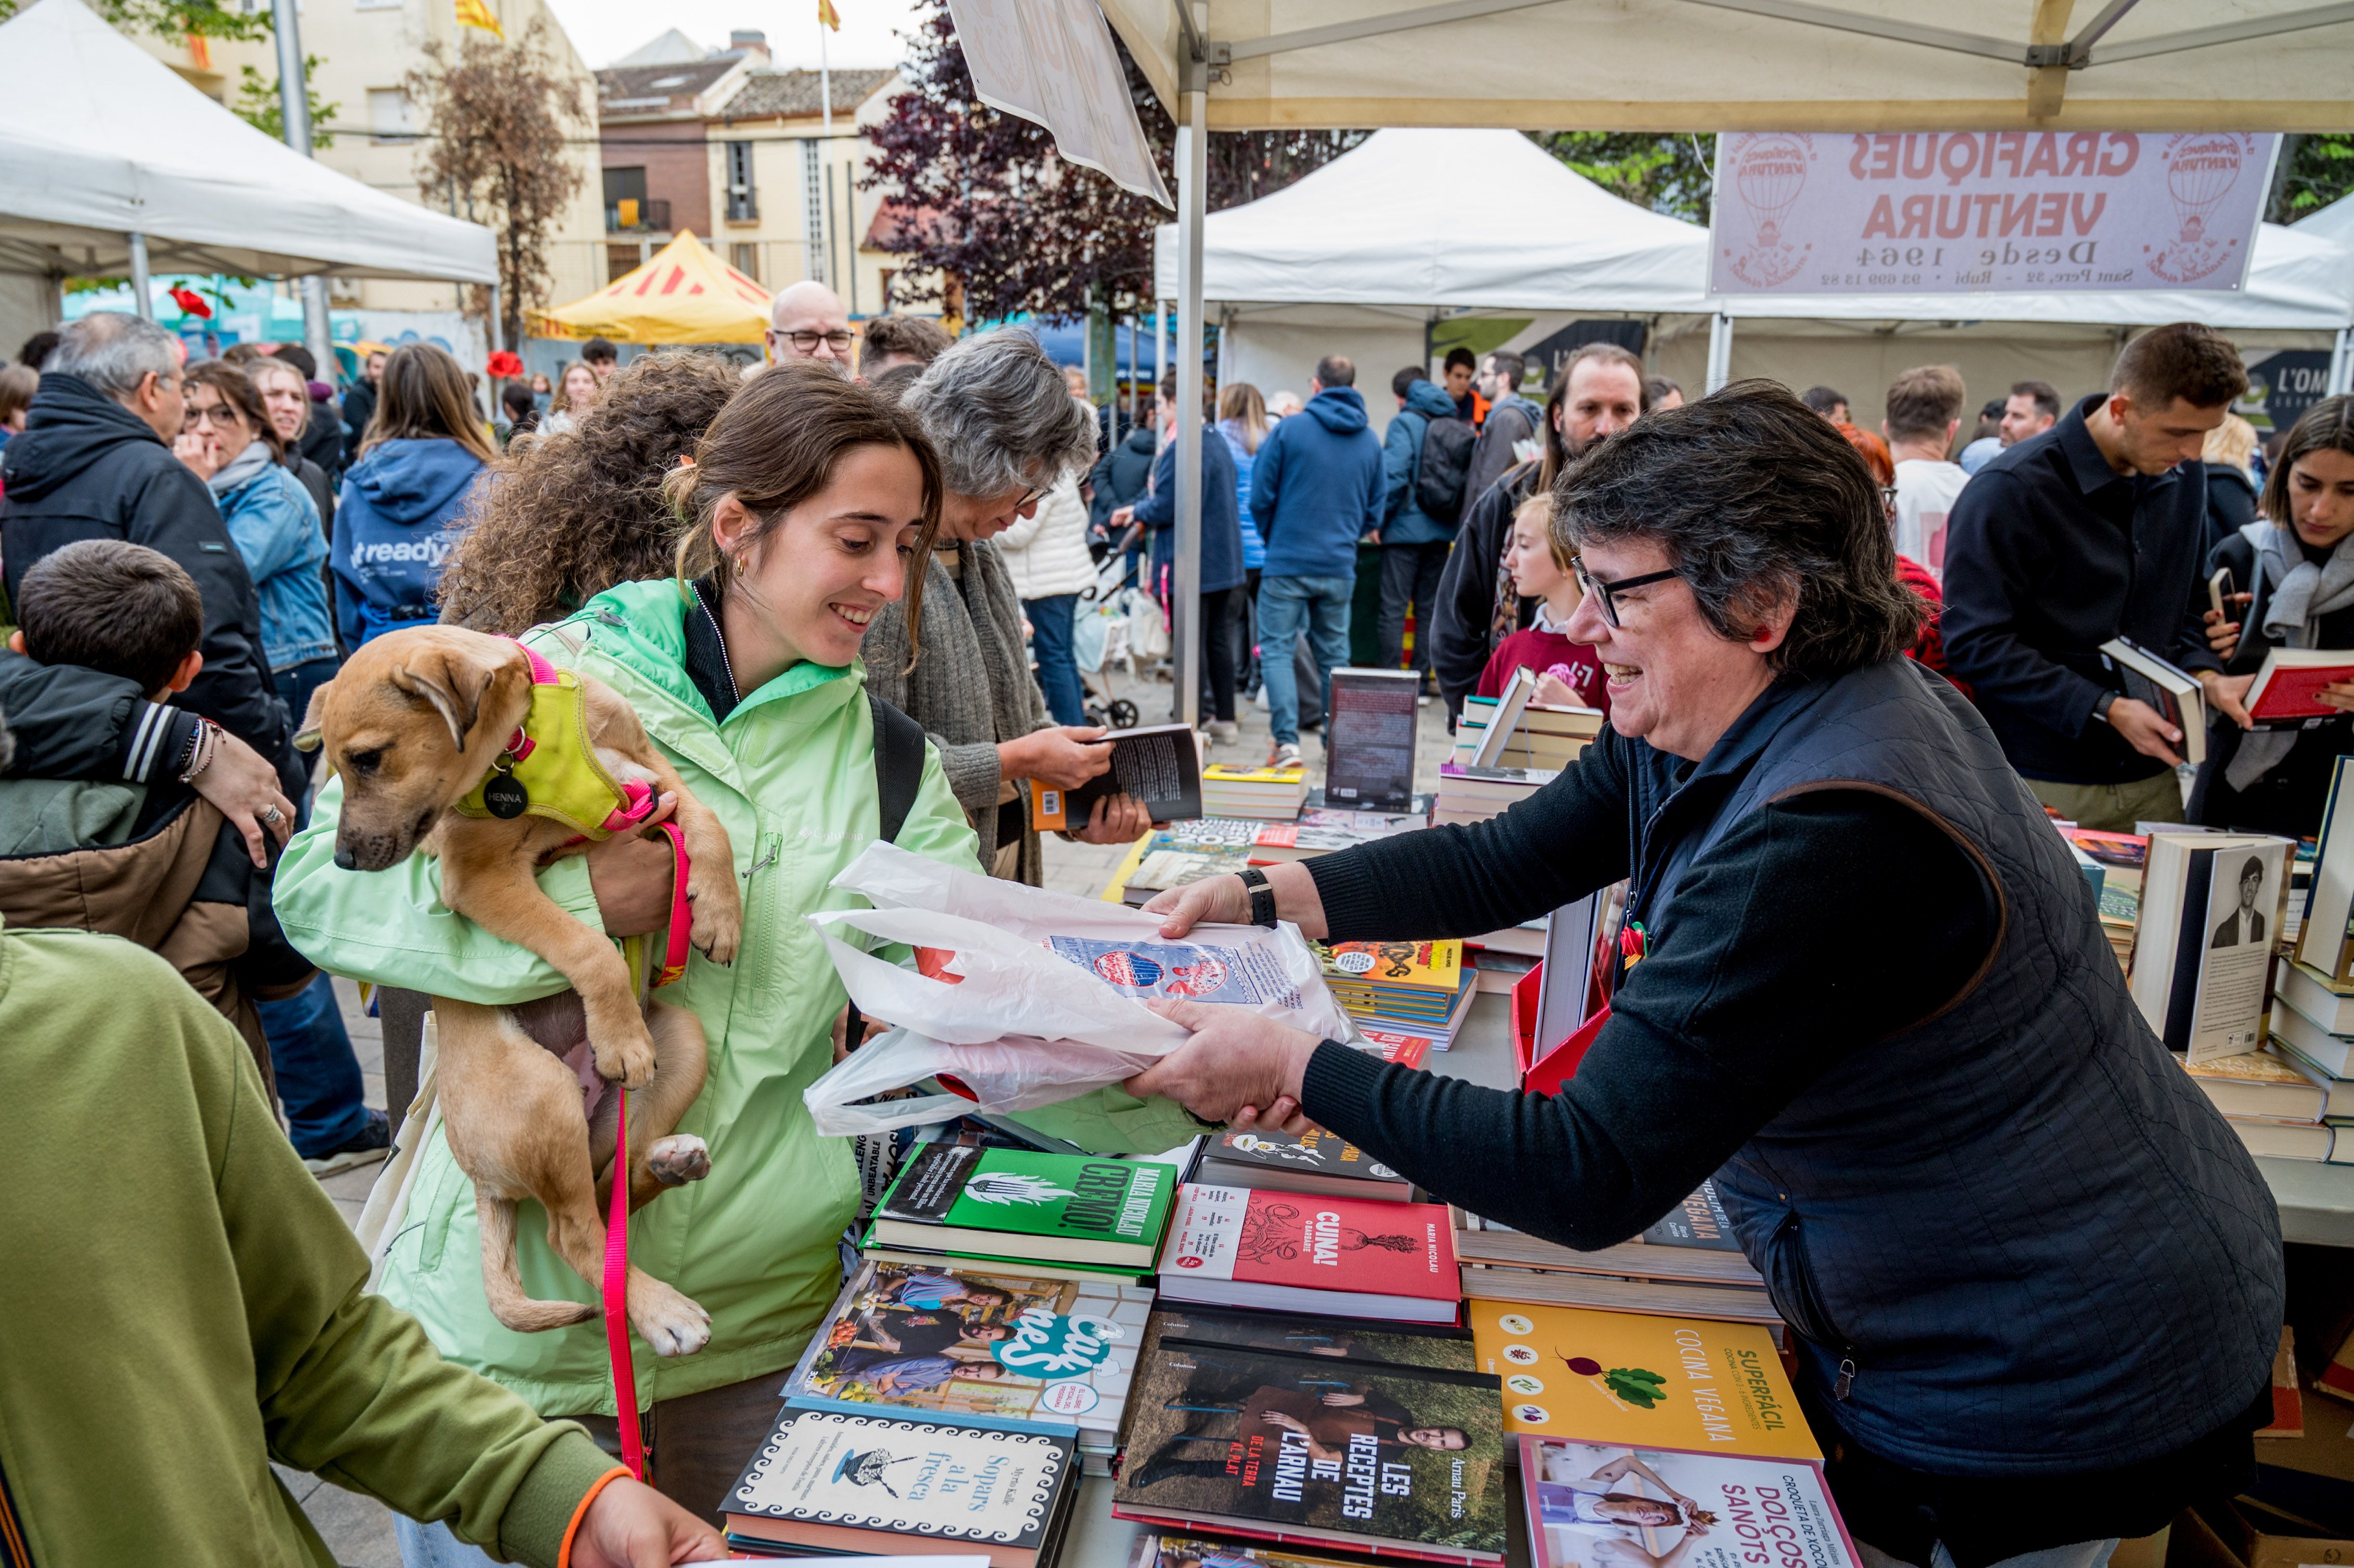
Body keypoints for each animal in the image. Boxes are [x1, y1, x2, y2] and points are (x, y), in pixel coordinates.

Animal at [294, 621, 739, 1356]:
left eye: (365, 759)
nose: (344, 860)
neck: (529, 739)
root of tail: (481, 1179)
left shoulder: (658, 775)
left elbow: (711, 824)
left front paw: (722, 914)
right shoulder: (481, 877)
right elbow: (589, 944)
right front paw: (621, 1036)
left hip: (685, 1045)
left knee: (609, 1201)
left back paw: (674, 1161)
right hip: (541, 1095)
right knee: (577, 1234)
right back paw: (661, 1310)